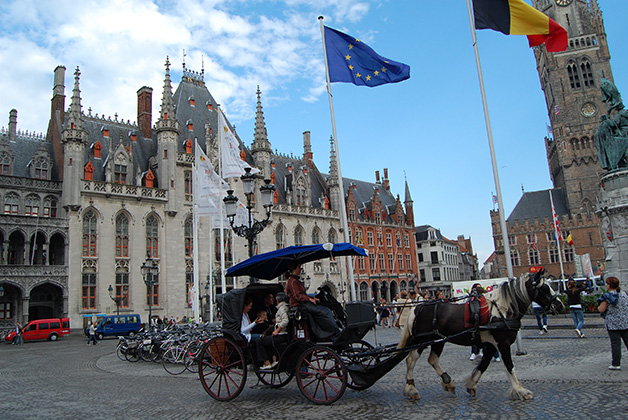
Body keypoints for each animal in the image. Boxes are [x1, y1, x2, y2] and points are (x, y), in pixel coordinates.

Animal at [400, 272, 560, 400]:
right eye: (545, 288)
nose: (559, 304)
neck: (501, 310)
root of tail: (418, 307)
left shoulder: (491, 344)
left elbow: (483, 364)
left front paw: (471, 385)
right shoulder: (503, 343)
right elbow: (509, 366)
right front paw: (521, 391)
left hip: (438, 340)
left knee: (433, 359)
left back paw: (448, 382)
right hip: (423, 340)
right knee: (411, 360)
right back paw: (411, 389)